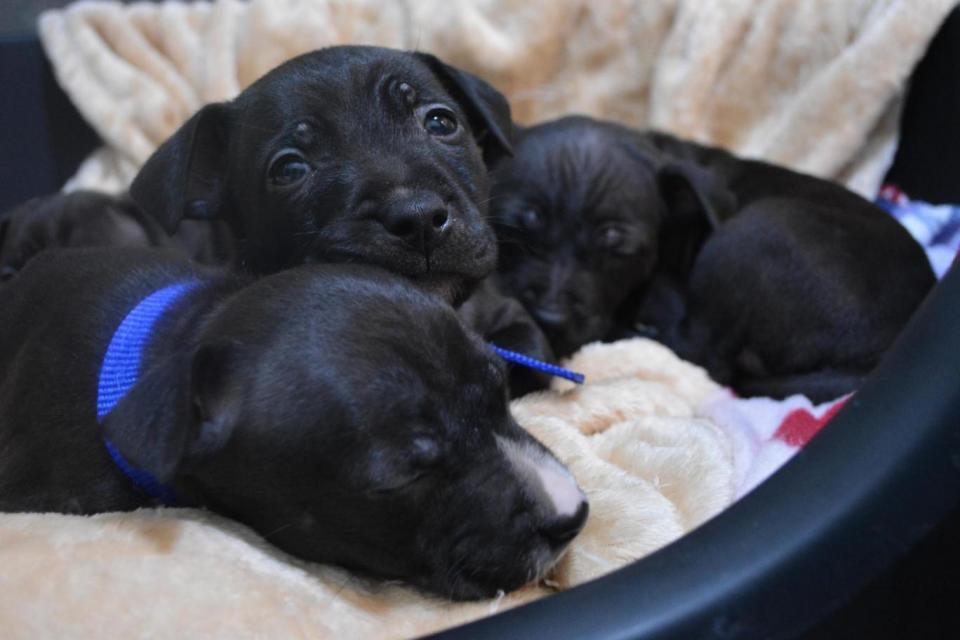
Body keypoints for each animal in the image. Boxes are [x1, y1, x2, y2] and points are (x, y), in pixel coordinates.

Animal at [492, 115, 932, 400]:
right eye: (516, 230)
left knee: (703, 355)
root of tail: (877, 357)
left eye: (618, 250)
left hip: (752, 231)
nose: (550, 319)